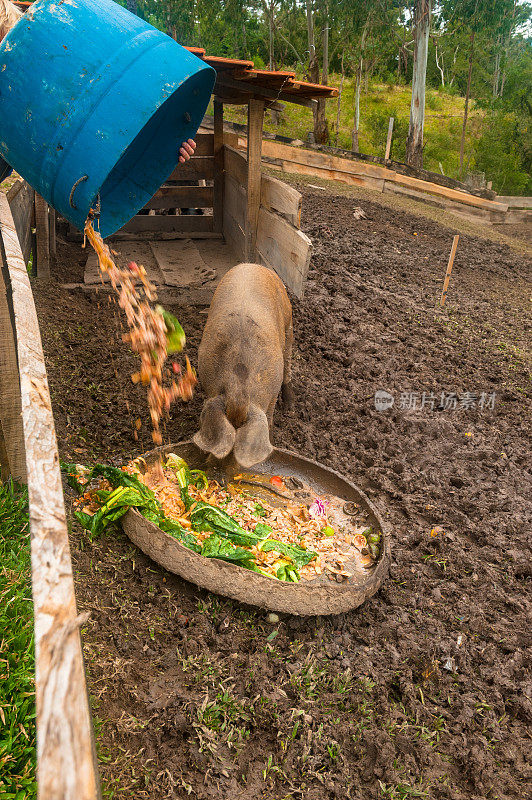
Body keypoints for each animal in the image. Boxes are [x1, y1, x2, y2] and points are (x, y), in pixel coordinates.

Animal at [193, 260, 294, 468]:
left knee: (288, 362)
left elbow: (270, 418)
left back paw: (290, 409)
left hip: (289, 323)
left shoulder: (272, 390)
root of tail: (252, 265)